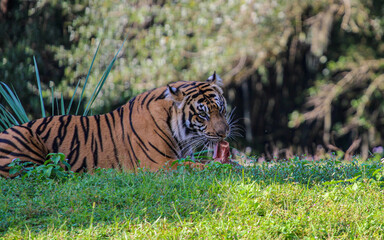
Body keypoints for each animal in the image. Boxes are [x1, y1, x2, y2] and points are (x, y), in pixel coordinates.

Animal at [0, 72, 236, 177]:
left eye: (221, 108)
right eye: (202, 115)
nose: (224, 133)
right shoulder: (159, 165)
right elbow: (201, 166)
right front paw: (227, 167)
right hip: (25, 147)